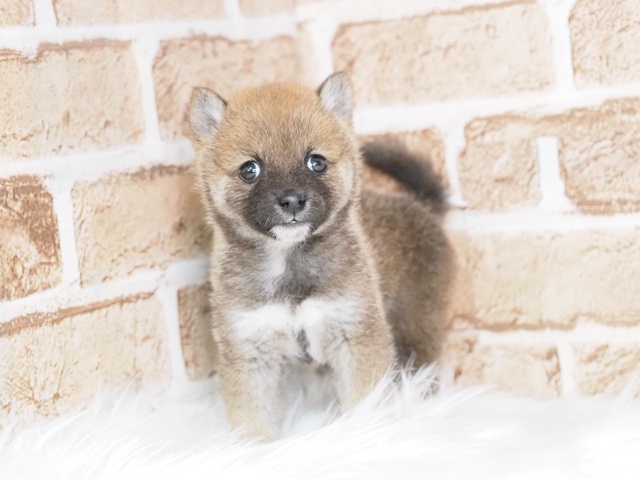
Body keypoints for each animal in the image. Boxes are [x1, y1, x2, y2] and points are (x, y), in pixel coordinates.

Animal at [188, 72, 452, 442]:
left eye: (316, 162)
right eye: (249, 170)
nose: (292, 201)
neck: (289, 266)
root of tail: (421, 205)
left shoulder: (355, 335)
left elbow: (364, 401)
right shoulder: (251, 350)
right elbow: (253, 419)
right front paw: (255, 449)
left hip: (415, 328)